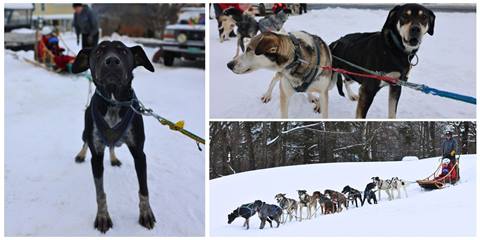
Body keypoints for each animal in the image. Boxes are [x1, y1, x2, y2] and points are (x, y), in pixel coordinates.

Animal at [71, 40, 155, 232]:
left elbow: (144, 189)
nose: (112, 61)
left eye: (123, 51)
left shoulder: (139, 154)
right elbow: (100, 193)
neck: (113, 101)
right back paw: (81, 155)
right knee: (85, 142)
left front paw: (146, 214)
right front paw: (103, 217)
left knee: (111, 145)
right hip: (86, 131)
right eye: (99, 51)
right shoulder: (96, 157)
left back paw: (114, 157)